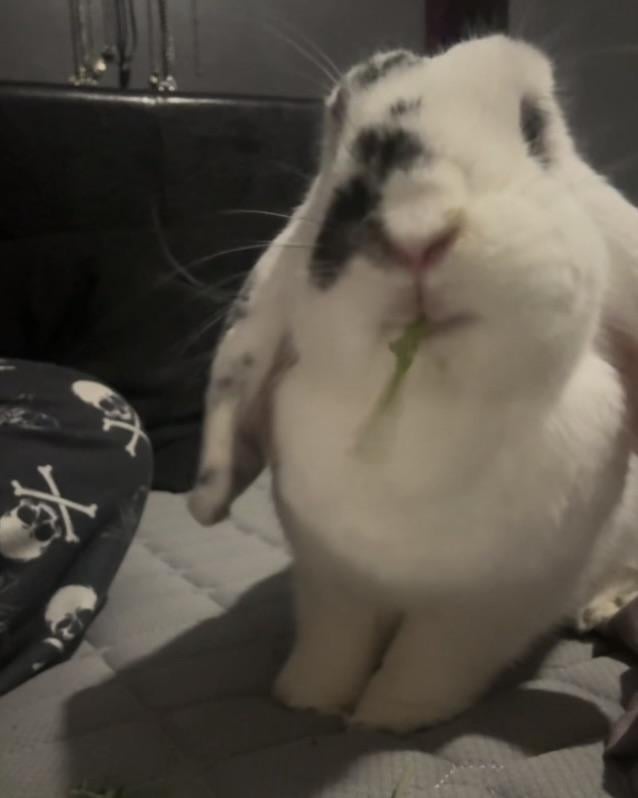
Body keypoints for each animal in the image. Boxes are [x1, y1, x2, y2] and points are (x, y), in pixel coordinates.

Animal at [188, 35, 638, 733]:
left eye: (534, 124)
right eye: (338, 119)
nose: (415, 229)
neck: (426, 406)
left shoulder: (490, 607)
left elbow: (428, 660)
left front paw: (385, 718)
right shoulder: (329, 582)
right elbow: (334, 640)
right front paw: (305, 698)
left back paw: (606, 606)